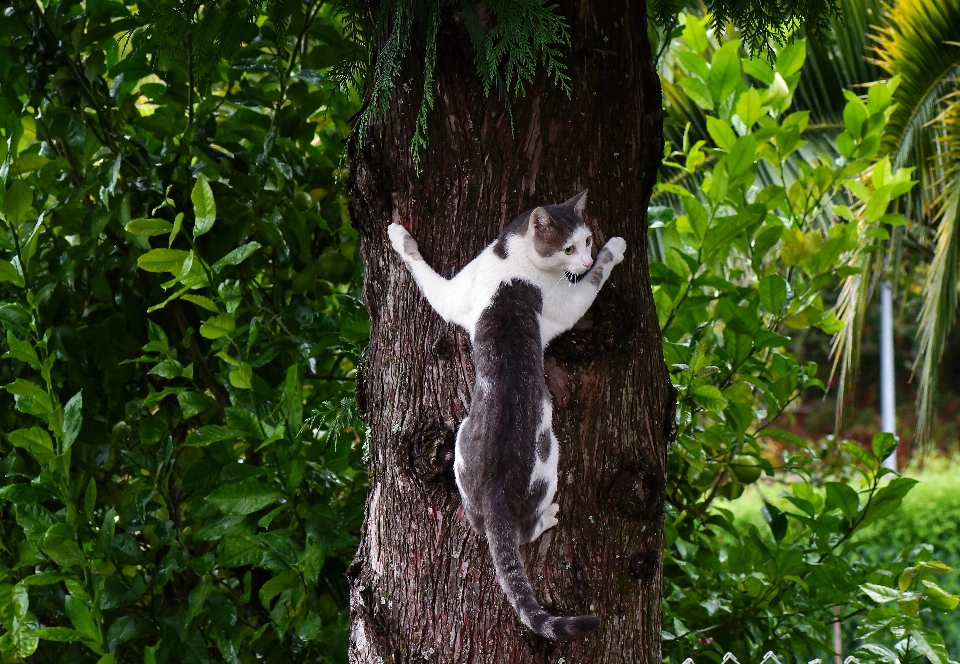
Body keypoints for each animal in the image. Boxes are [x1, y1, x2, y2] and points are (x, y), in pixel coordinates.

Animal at [386, 191, 628, 640]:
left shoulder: (455, 294)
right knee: (524, 532)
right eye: (569, 249)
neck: (514, 259)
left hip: (461, 450)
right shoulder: (567, 302)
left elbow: (423, 270)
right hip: (549, 456)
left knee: (479, 524)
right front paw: (615, 250)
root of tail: (496, 493)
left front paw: (397, 235)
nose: (586, 257)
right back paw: (547, 518)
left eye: (585, 240)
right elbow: (595, 281)